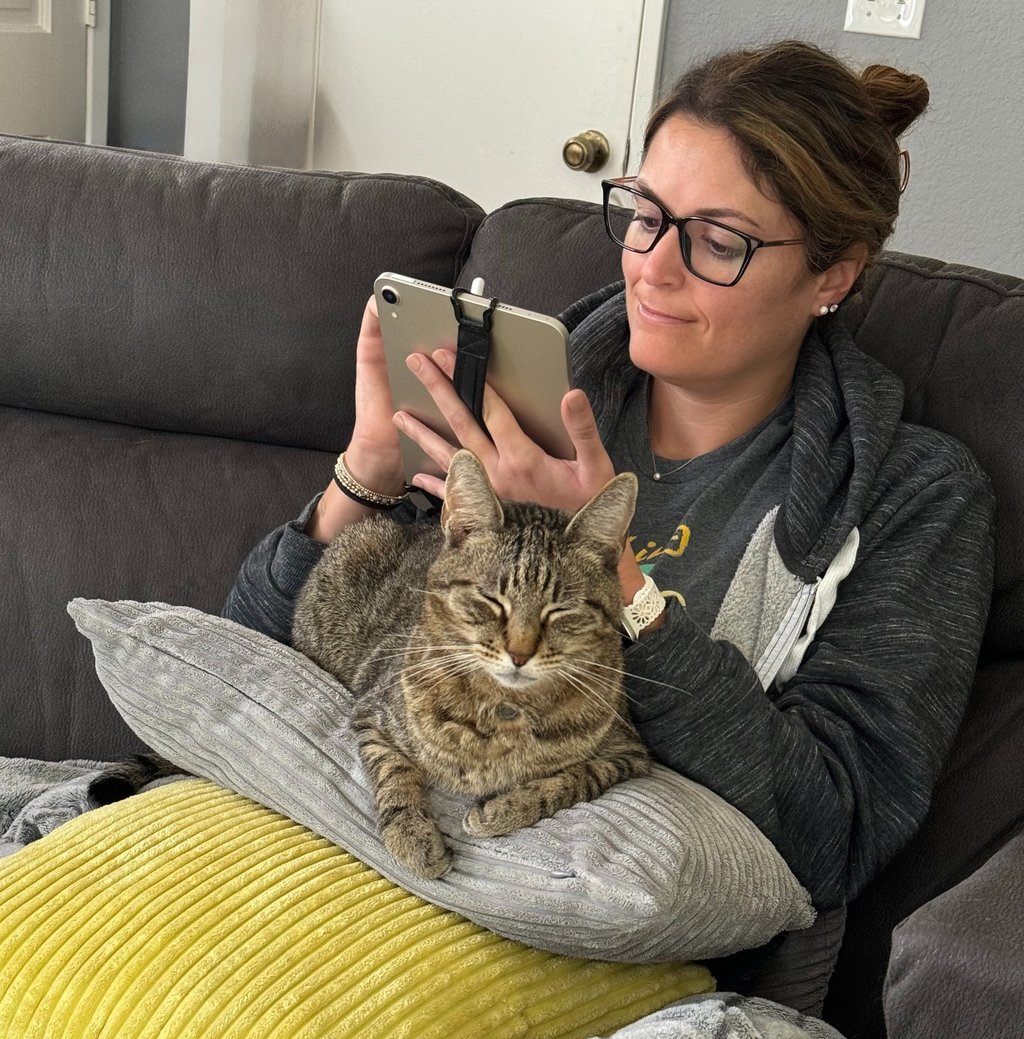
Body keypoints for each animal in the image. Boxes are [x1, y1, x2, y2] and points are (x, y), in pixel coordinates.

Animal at [292, 449, 651, 879]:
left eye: (560, 609)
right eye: (490, 599)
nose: (519, 654)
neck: (503, 711)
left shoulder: (629, 752)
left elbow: (575, 779)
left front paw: (504, 809)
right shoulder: (372, 714)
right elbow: (394, 771)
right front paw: (412, 836)